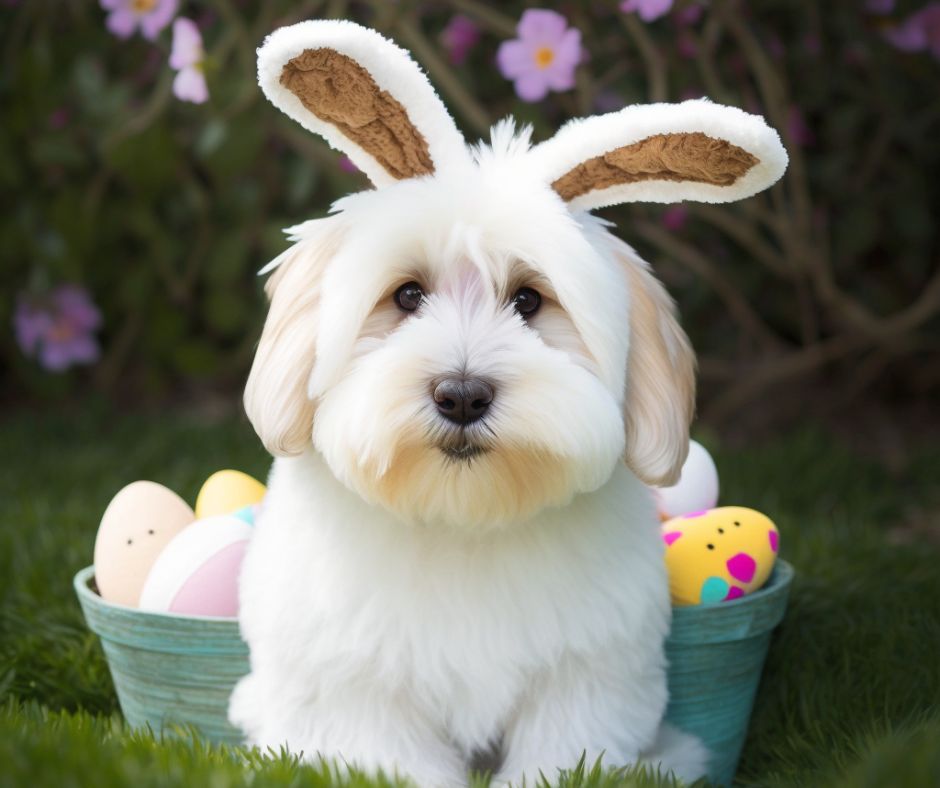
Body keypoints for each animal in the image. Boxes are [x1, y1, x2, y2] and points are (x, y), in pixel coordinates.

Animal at [229, 20, 784, 788]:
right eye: (407, 296)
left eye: (528, 301)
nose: (462, 395)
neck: (466, 517)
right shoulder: (357, 687)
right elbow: (392, 756)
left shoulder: (586, 675)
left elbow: (564, 751)